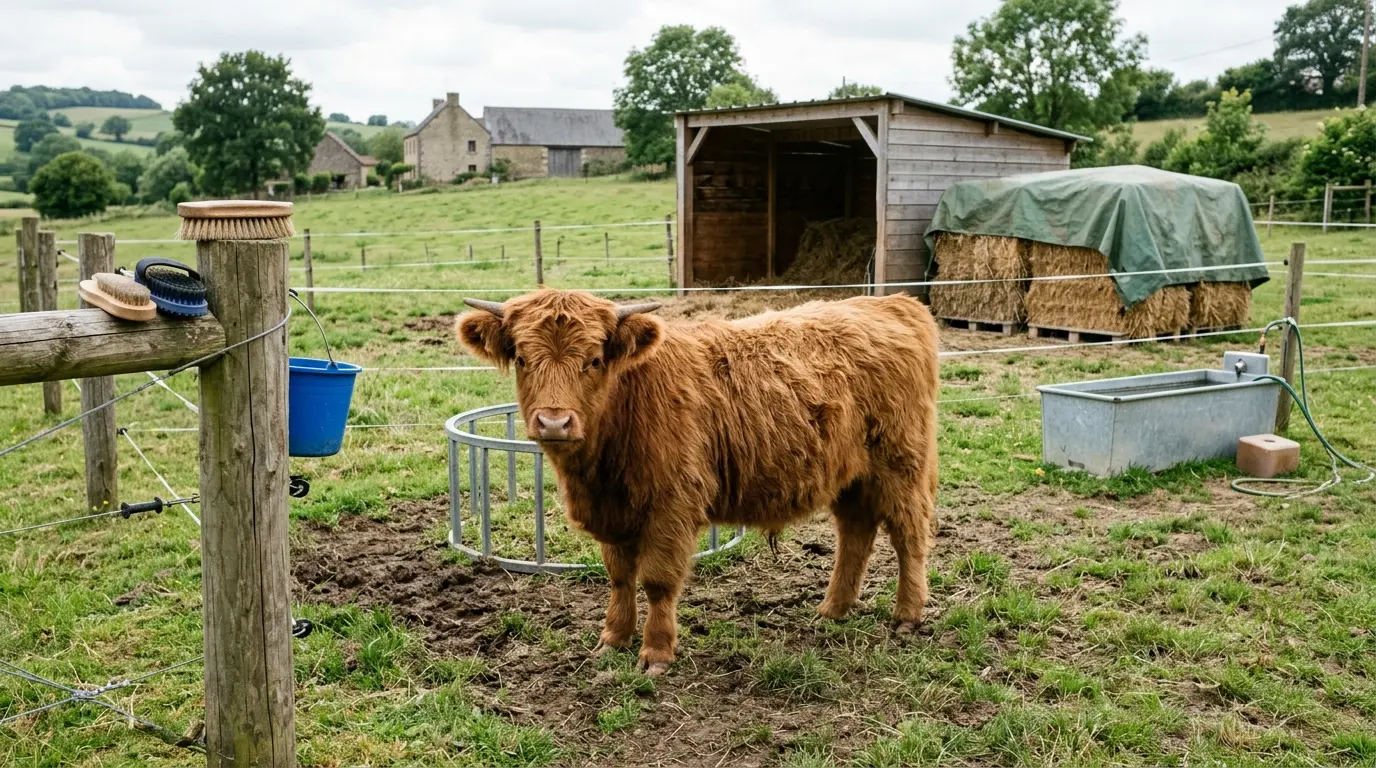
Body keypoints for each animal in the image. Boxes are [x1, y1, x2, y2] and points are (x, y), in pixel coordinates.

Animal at [457, 289, 939, 675]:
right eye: (522, 359)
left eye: (593, 360)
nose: (554, 422)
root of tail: (893, 303)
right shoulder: (615, 513)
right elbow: (619, 576)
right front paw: (613, 639)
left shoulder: (671, 506)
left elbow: (657, 580)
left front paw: (655, 653)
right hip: (852, 477)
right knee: (855, 533)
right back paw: (833, 609)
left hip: (901, 466)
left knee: (909, 536)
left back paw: (907, 615)